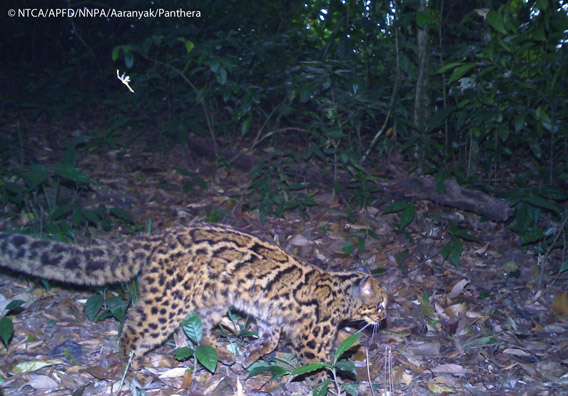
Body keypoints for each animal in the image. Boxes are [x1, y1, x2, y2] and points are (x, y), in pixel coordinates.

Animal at [0, 226, 386, 384]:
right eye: (380, 304)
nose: (386, 318)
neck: (340, 292)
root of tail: (160, 237)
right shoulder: (311, 338)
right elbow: (318, 365)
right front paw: (319, 383)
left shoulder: (269, 316)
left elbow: (270, 338)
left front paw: (251, 355)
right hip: (167, 301)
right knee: (134, 329)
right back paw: (131, 368)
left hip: (210, 299)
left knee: (194, 332)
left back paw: (225, 353)